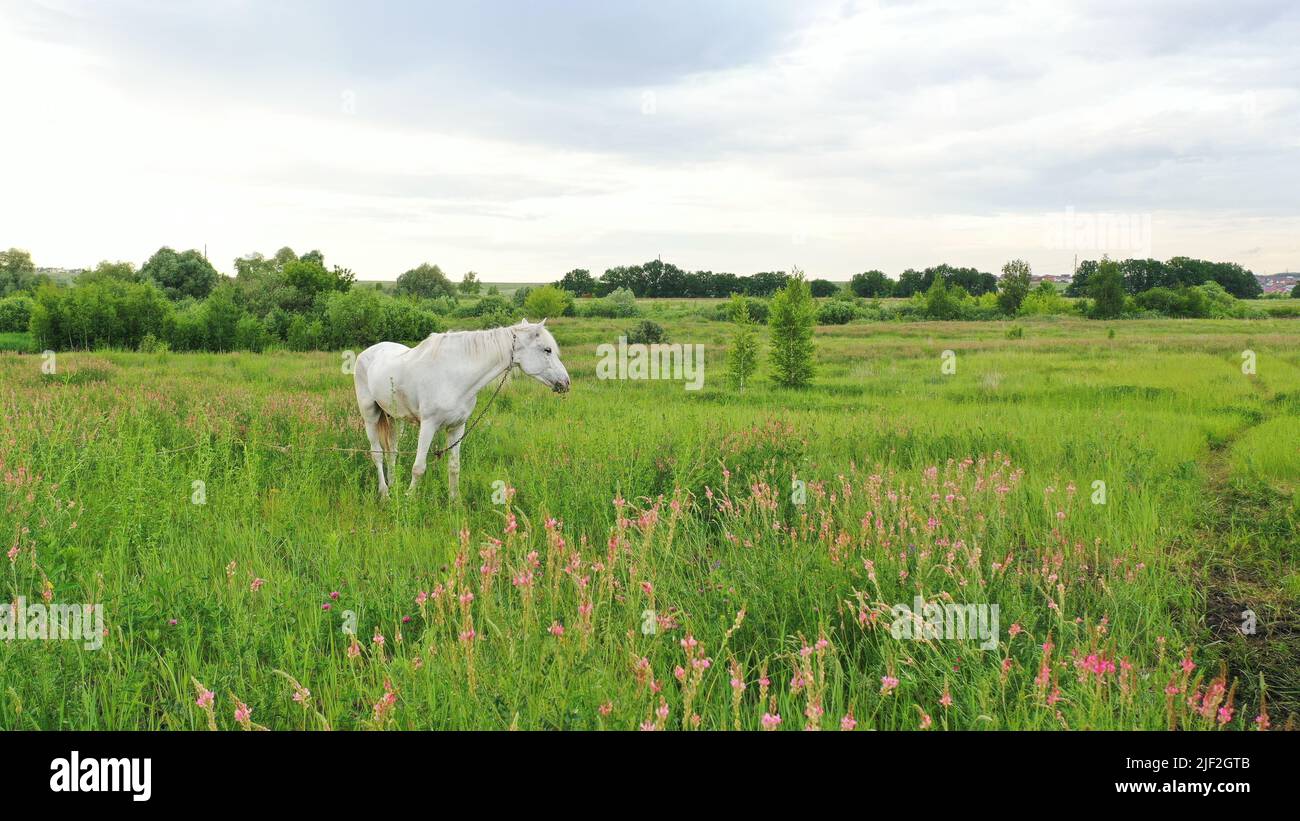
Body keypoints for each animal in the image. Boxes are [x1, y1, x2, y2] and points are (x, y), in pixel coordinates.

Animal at [352, 318, 570, 499]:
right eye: (547, 350)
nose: (566, 382)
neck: (454, 374)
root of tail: (368, 352)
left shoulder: (457, 427)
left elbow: (454, 466)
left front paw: (454, 502)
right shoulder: (428, 425)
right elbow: (418, 467)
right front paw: (409, 499)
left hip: (394, 418)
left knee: (392, 452)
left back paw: (394, 484)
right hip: (370, 415)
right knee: (377, 454)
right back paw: (385, 493)